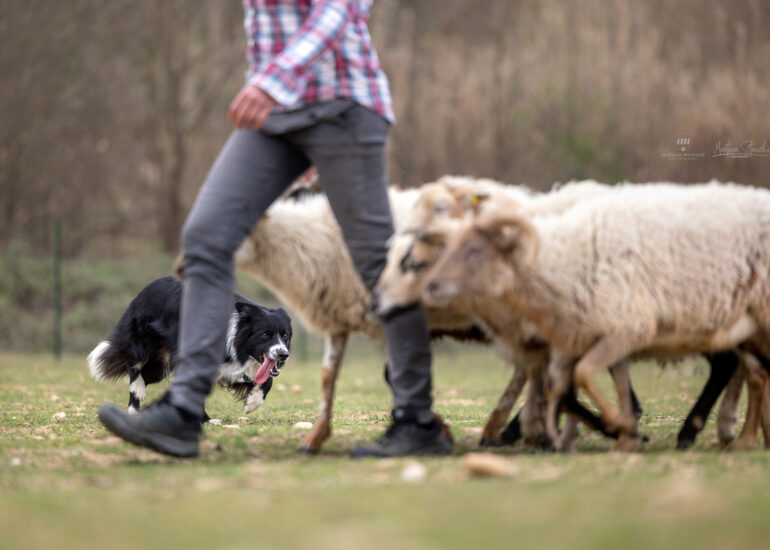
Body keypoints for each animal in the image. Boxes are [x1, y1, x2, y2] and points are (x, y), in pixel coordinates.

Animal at [422, 182, 770, 451]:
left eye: (473, 251)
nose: (431, 284)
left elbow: (564, 387)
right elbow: (564, 387)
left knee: (732, 365)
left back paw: (708, 431)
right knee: (746, 367)